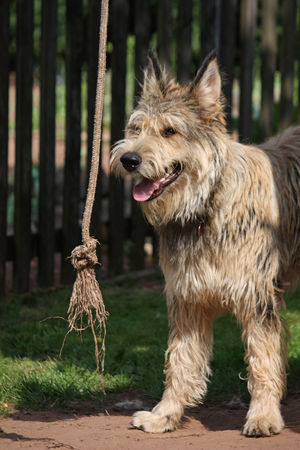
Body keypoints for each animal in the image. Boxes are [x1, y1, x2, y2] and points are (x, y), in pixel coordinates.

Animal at [110, 50, 300, 436]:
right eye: (136, 129)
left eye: (170, 131)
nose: (128, 159)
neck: (205, 207)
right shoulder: (187, 299)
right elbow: (180, 362)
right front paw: (165, 415)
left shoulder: (258, 297)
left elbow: (262, 358)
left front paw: (263, 415)